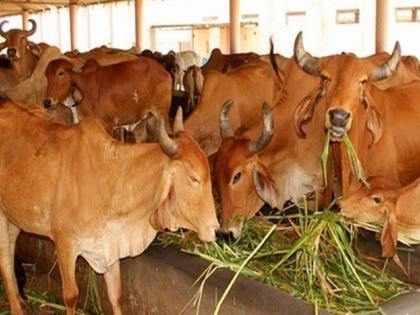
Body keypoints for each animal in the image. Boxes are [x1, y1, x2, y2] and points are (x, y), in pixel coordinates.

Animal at [0, 99, 220, 315]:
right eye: (194, 178)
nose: (215, 228)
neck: (110, 179)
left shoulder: (111, 245)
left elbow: (116, 295)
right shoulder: (64, 244)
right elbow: (70, 297)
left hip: (15, 217)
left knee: (10, 251)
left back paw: (21, 300)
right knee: (4, 260)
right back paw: (16, 308)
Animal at [43, 57, 171, 139]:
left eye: (61, 73)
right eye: (46, 76)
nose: (47, 102)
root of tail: (164, 72)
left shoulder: (108, 125)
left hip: (162, 115)